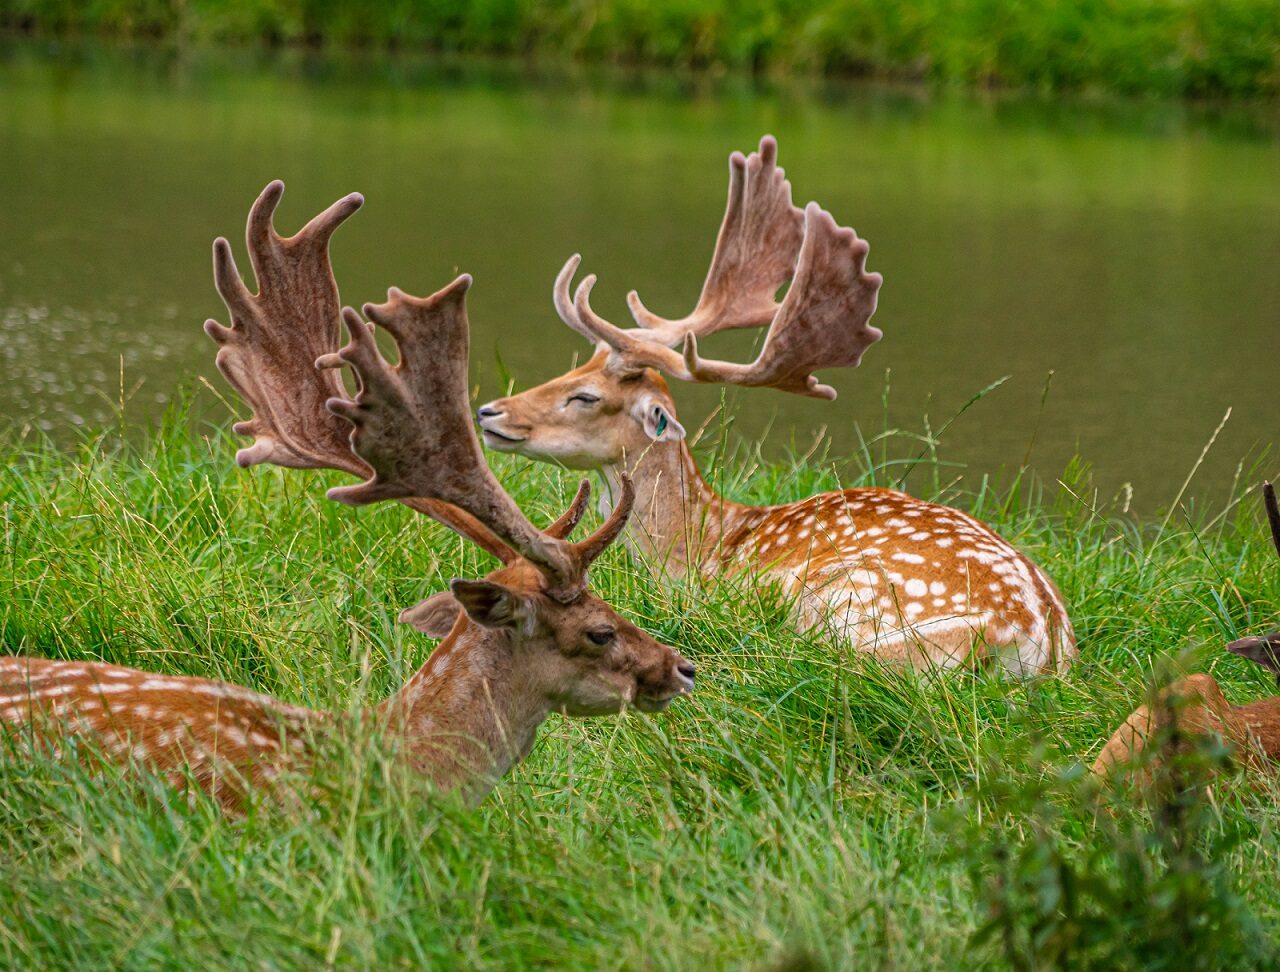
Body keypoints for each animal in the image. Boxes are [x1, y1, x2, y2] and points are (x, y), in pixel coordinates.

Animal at [476, 135, 1075, 676]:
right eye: (571, 370)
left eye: (586, 397)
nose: (489, 412)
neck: (701, 543)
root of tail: (1029, 640)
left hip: (839, 599)